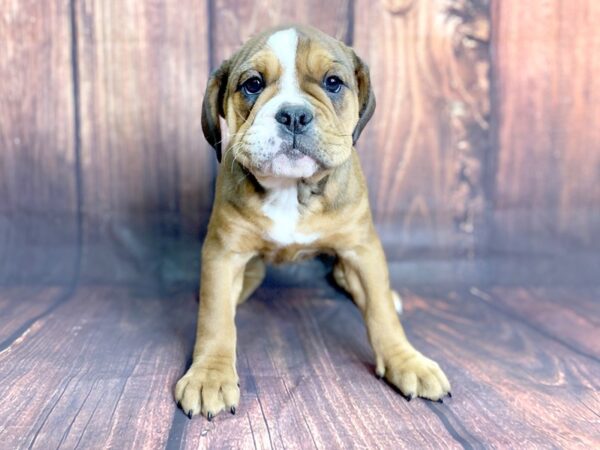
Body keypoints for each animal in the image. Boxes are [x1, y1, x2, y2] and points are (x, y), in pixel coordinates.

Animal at [173, 23, 450, 418]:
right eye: (252, 84)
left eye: (333, 82)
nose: (293, 115)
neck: (292, 189)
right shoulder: (223, 253)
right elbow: (215, 319)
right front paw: (209, 375)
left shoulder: (362, 250)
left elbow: (381, 311)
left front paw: (407, 361)